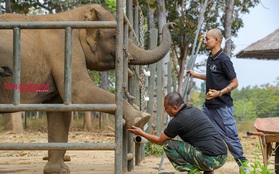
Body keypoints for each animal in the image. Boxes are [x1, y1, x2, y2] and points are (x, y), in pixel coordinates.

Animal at [0, 3, 175, 173]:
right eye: (114, 37)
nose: (172, 24)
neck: (73, 17)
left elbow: (60, 110)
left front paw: (58, 171)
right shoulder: (65, 50)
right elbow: (79, 91)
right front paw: (141, 119)